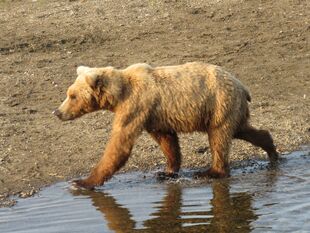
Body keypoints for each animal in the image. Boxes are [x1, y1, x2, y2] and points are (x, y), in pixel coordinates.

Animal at [53, 62, 278, 189]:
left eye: (72, 96)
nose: (57, 112)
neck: (118, 95)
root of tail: (243, 86)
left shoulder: (135, 107)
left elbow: (119, 144)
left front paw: (82, 182)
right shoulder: (153, 116)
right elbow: (167, 141)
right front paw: (166, 171)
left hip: (219, 104)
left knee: (219, 138)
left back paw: (211, 171)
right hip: (229, 109)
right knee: (243, 130)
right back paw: (272, 150)